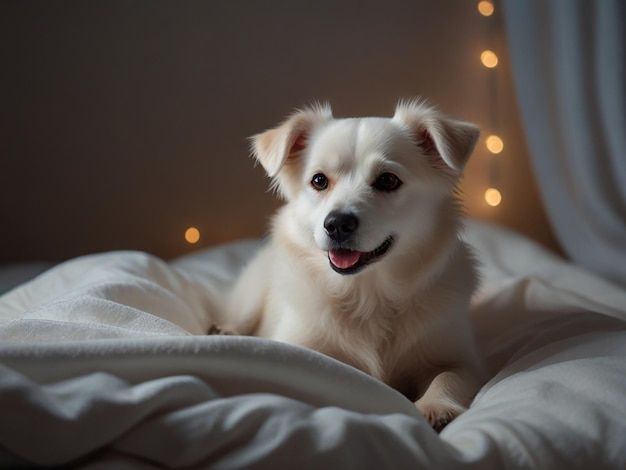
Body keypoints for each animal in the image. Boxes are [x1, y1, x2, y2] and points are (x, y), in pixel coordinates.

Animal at [222, 101, 486, 432]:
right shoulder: (296, 344)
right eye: (319, 180)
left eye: (388, 180)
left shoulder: (462, 359)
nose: (337, 224)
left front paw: (434, 406)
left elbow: (448, 376)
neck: (368, 293)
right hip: (252, 290)